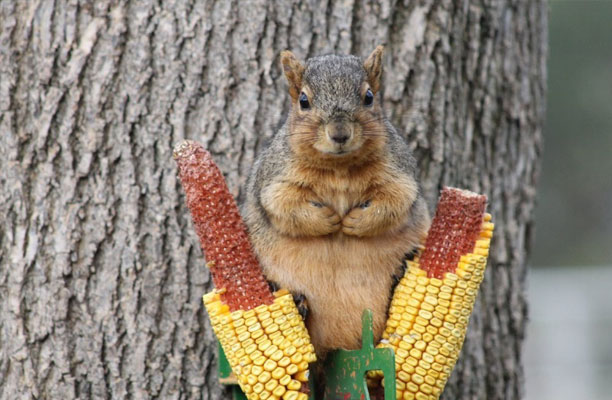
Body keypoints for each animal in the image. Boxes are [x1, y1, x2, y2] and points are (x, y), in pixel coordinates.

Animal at [244, 45, 430, 360]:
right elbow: (284, 206)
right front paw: (329, 221)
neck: (339, 168)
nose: (340, 134)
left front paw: (355, 222)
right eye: (303, 101)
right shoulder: (274, 180)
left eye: (369, 97)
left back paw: (400, 273)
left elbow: (395, 201)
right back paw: (296, 303)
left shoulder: (401, 176)